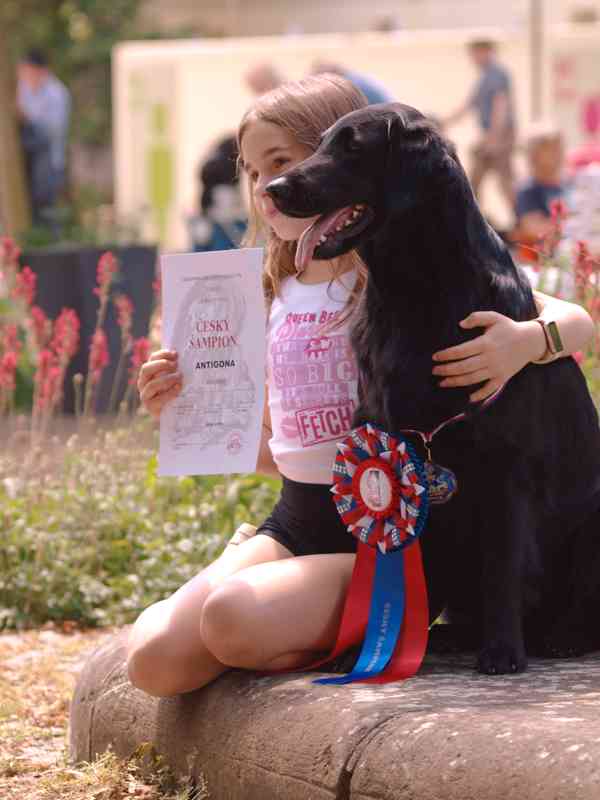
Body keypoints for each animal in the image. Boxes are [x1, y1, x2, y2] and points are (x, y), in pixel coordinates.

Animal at [268, 101, 600, 676]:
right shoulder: (386, 446)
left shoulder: (507, 466)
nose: (274, 187)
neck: (413, 295)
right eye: (324, 141)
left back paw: (558, 636)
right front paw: (366, 651)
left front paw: (502, 651)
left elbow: (503, 564)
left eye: (352, 146)